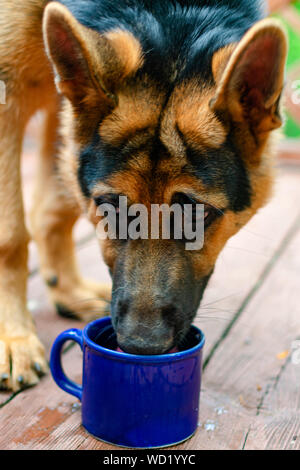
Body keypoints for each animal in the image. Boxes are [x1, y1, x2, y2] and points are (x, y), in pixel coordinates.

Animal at [0, 0, 288, 390]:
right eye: (109, 207)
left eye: (198, 214)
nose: (141, 347)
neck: (172, 14)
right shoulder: (9, 93)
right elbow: (11, 235)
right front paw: (12, 337)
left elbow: (55, 206)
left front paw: (65, 291)